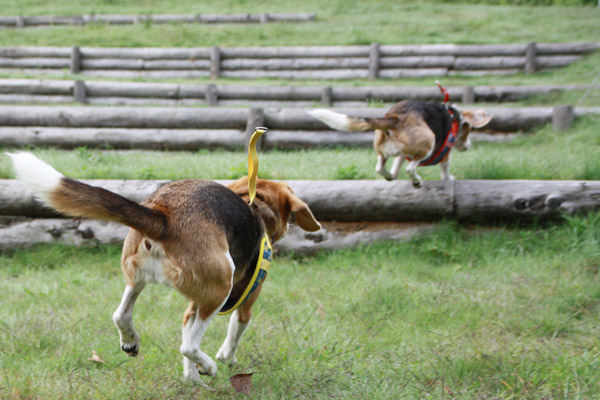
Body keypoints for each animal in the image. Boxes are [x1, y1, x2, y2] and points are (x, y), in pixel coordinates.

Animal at [7, 152, 322, 384]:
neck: (256, 206)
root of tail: (164, 216)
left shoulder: (192, 305)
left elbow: (186, 331)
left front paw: (191, 377)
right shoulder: (245, 300)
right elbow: (234, 332)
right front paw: (224, 360)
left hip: (137, 278)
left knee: (121, 315)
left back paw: (132, 342)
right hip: (221, 287)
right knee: (189, 346)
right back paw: (209, 365)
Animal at [310, 100, 492, 188]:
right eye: (468, 130)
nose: (467, 146)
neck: (454, 117)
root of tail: (397, 117)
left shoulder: (402, 155)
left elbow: (397, 163)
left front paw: (393, 174)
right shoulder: (445, 153)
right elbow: (445, 168)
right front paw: (449, 179)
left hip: (382, 149)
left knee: (380, 167)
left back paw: (390, 176)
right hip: (428, 142)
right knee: (411, 168)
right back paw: (417, 181)